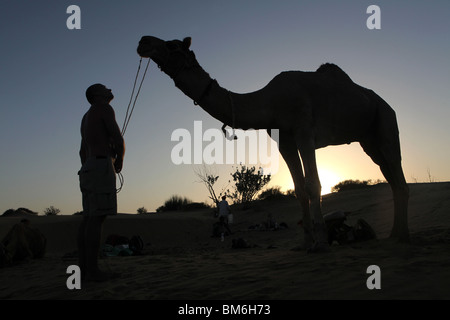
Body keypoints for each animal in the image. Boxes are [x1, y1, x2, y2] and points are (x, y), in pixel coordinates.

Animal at [138, 35, 412, 250]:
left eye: (173, 45)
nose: (144, 41)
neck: (271, 101)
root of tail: (386, 104)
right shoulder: (285, 140)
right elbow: (299, 189)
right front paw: (306, 244)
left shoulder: (304, 131)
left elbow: (313, 184)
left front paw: (322, 243)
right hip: (368, 139)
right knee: (389, 175)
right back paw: (394, 233)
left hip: (385, 121)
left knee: (397, 172)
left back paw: (404, 236)